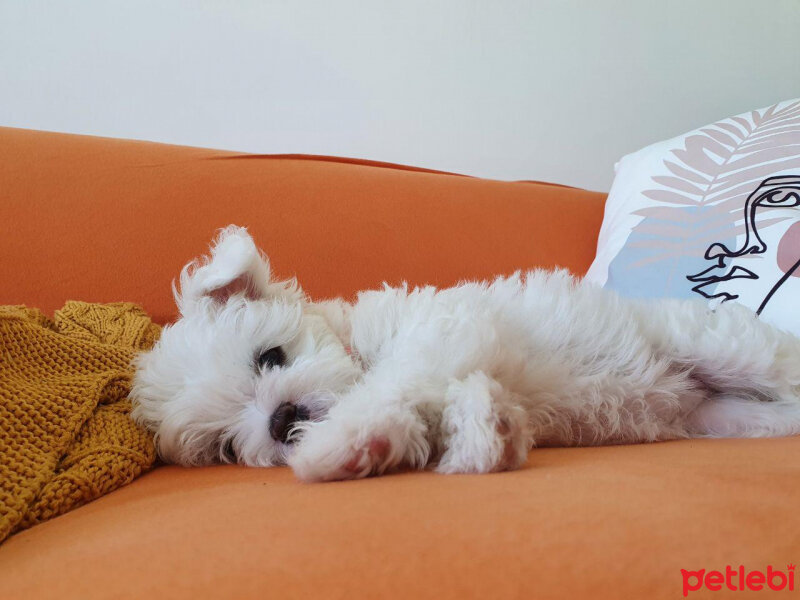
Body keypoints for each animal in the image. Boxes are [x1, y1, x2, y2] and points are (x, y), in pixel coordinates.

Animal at [131, 226, 800, 482]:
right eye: (226, 447)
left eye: (270, 357)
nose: (280, 420)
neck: (357, 348)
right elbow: (446, 408)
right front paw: (483, 436)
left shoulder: (437, 333)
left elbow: (396, 381)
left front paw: (334, 446)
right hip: (728, 418)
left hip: (720, 348)